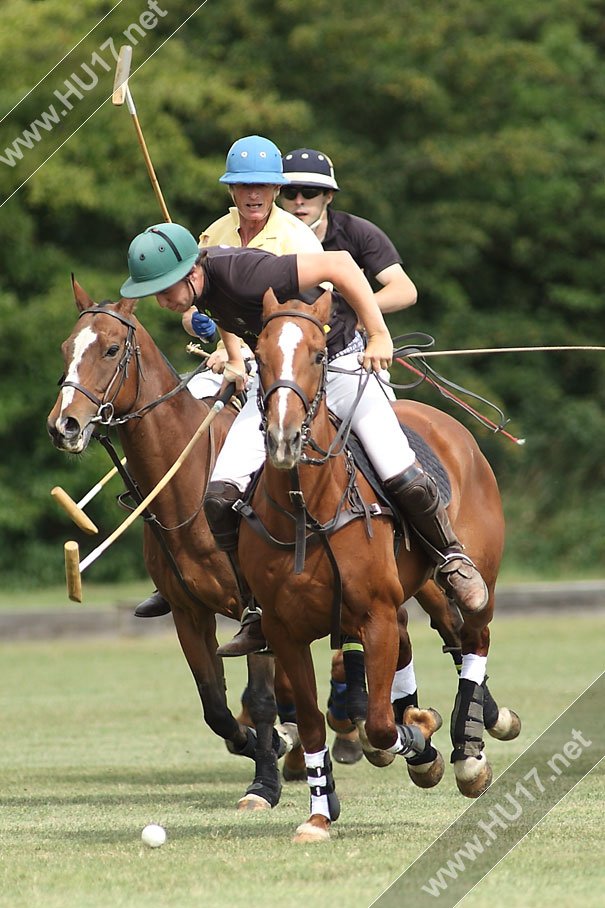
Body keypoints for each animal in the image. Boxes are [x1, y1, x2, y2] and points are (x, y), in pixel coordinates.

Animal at [46, 282, 286, 808]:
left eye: (111, 349)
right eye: (66, 347)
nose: (63, 426)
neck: (188, 484)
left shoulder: (257, 610)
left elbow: (260, 698)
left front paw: (264, 783)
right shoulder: (186, 611)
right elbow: (216, 707)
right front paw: (266, 745)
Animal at [237, 290, 520, 836]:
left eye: (319, 356)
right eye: (257, 356)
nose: (283, 438)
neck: (309, 510)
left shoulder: (378, 615)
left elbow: (384, 723)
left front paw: (422, 744)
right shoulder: (284, 631)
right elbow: (311, 723)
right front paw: (319, 813)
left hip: (480, 573)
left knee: (475, 636)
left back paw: (468, 753)